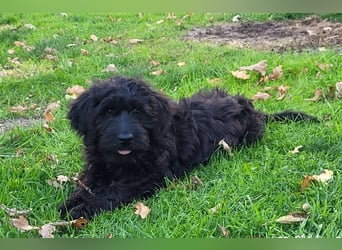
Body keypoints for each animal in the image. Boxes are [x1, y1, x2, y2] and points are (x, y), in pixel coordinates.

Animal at [58, 76, 318, 219]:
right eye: (108, 111)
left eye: (138, 111)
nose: (125, 138)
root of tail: (253, 109)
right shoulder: (97, 166)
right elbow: (88, 183)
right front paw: (74, 201)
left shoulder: (150, 176)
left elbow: (115, 191)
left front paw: (82, 209)